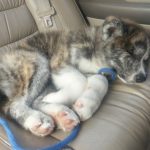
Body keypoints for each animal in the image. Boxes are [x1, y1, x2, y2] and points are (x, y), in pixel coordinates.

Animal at [0, 15, 149, 137]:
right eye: (130, 53)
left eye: (146, 59)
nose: (142, 78)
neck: (96, 51)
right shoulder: (59, 62)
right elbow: (80, 81)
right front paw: (55, 98)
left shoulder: (96, 73)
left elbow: (101, 80)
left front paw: (87, 104)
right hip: (37, 62)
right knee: (14, 105)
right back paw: (37, 119)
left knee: (35, 101)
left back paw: (61, 115)